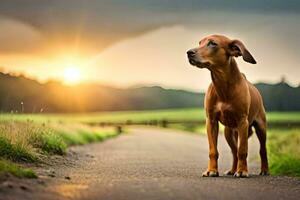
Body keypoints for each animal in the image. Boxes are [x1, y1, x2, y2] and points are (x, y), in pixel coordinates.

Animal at [188, 35, 270, 177]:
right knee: (234, 151)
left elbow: (242, 150)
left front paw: (242, 171)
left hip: (260, 127)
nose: (189, 52)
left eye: (213, 43)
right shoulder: (211, 121)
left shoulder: (243, 122)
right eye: (199, 43)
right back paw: (232, 170)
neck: (223, 86)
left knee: (262, 149)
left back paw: (264, 170)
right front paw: (211, 170)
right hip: (229, 132)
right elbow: (213, 150)